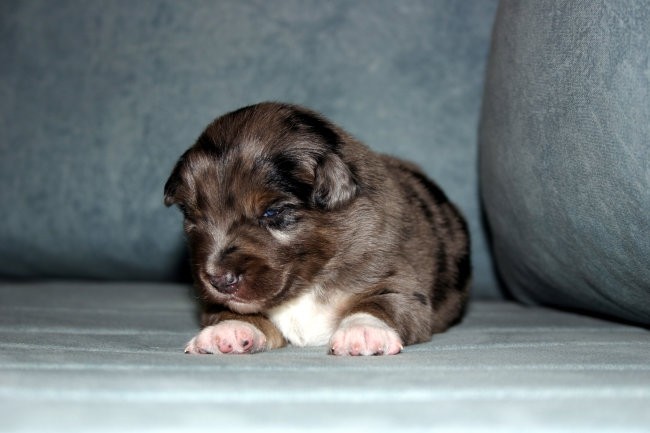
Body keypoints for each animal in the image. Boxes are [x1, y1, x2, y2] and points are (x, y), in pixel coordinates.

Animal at [161, 101, 466, 354]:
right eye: (192, 217)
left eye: (272, 212)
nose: (218, 280)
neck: (308, 283)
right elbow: (232, 310)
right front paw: (227, 330)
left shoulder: (395, 277)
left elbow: (381, 302)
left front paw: (362, 332)